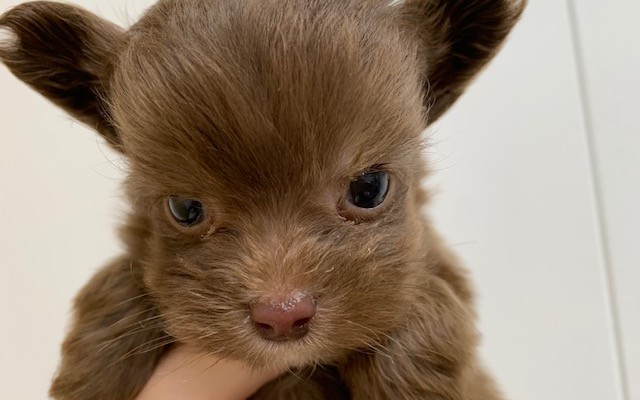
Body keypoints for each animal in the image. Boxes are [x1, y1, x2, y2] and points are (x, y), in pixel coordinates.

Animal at [0, 1, 524, 398]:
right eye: (185, 209)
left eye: (369, 188)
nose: (282, 314)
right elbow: (121, 278)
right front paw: (92, 371)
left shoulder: (434, 265)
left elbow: (427, 296)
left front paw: (411, 381)